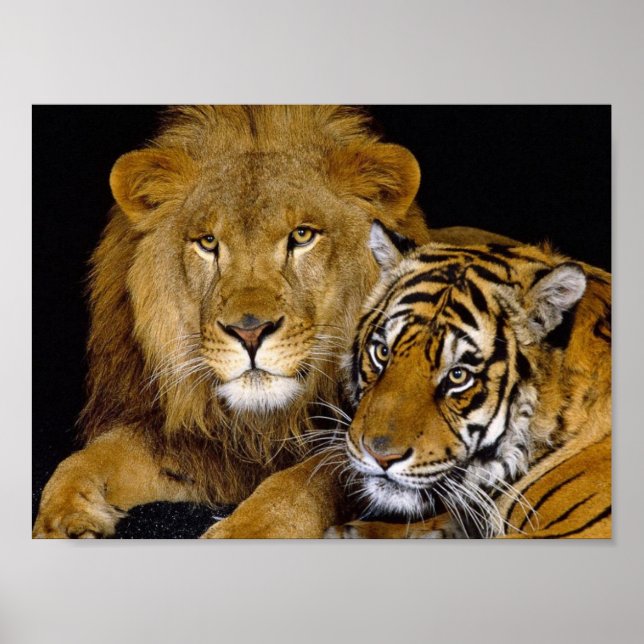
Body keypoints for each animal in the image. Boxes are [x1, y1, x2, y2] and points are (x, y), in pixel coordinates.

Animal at [33, 105, 513, 538]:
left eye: (302, 236)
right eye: (208, 242)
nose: (249, 331)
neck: (264, 423)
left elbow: (302, 482)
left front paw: (242, 531)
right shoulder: (196, 443)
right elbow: (90, 459)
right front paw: (63, 520)